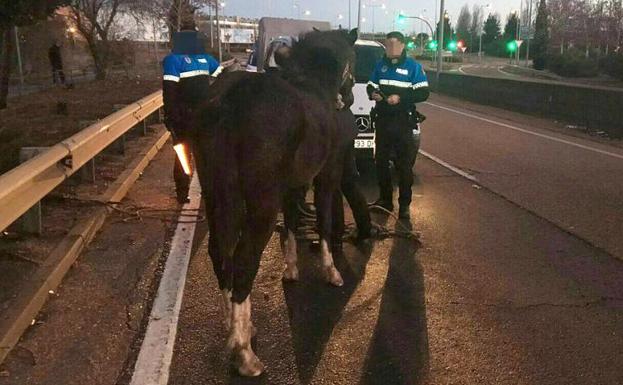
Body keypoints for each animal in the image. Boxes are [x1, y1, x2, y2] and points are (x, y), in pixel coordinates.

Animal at [195, 29, 360, 376]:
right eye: (353, 60)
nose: (349, 100)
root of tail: (231, 99)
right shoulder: (326, 177)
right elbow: (324, 222)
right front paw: (331, 271)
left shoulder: (293, 186)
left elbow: (293, 224)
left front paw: (291, 268)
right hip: (261, 204)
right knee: (244, 260)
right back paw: (244, 353)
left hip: (217, 195)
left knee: (220, 252)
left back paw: (235, 325)